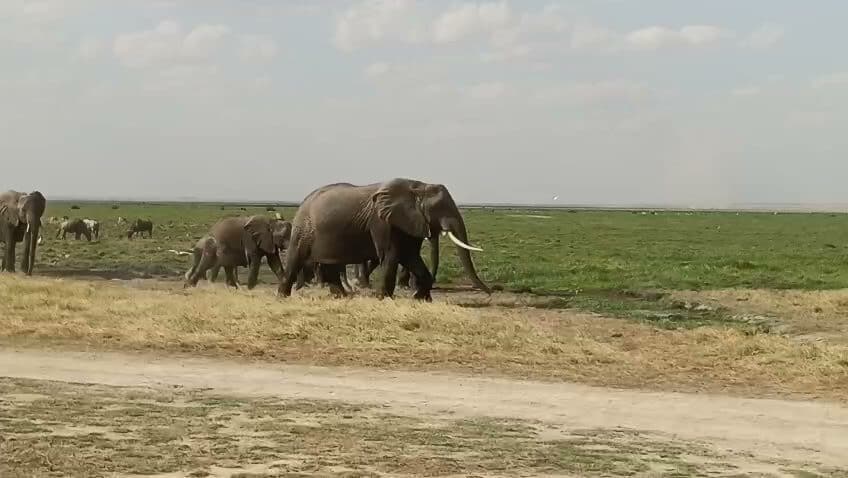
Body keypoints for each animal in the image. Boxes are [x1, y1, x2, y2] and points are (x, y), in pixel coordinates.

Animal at [278, 178, 489, 301]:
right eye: (440, 208)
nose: (489, 293)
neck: (417, 187)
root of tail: (303, 202)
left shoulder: (407, 221)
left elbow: (411, 256)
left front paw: (420, 298)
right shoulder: (381, 221)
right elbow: (390, 255)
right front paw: (383, 299)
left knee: (330, 264)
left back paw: (342, 297)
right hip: (304, 228)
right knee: (296, 257)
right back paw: (282, 297)